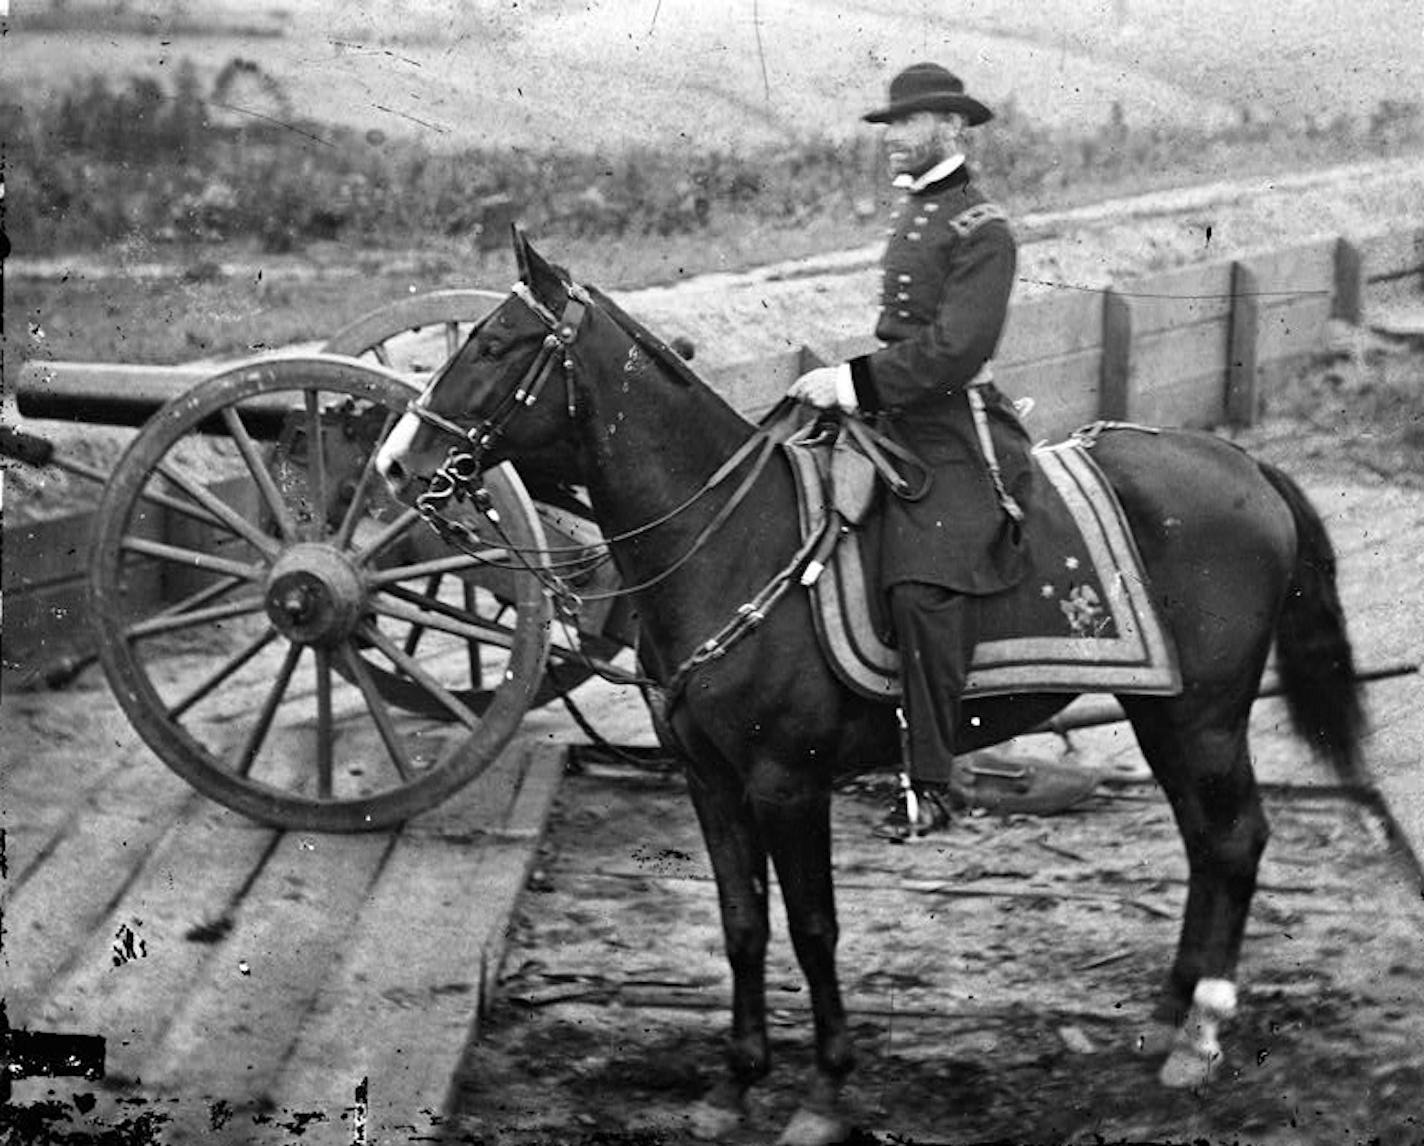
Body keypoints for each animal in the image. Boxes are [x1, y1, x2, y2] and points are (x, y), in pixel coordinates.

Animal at [375, 234, 1355, 1144]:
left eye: (493, 344)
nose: (392, 461)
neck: (734, 538)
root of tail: (1245, 467)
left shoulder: (788, 782)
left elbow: (814, 929)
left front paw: (824, 1091)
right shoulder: (709, 780)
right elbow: (742, 922)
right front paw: (734, 1082)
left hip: (1206, 718)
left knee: (1234, 838)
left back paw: (1202, 1035)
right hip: (1164, 712)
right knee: (1204, 844)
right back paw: (1165, 1020)